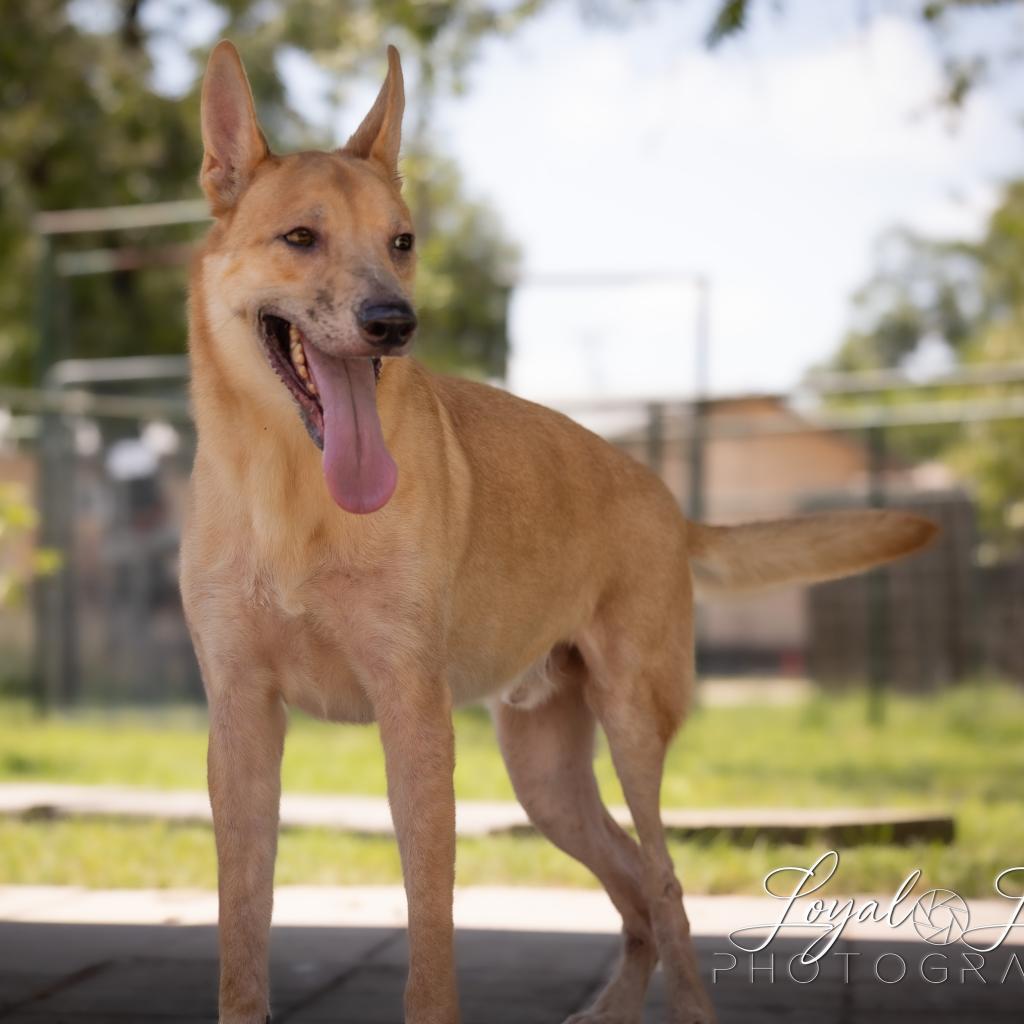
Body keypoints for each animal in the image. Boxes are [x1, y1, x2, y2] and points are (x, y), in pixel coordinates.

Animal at [182, 39, 937, 1024]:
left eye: (401, 243)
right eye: (300, 238)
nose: (395, 323)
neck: (291, 494)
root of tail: (669, 503)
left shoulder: (413, 720)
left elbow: (431, 939)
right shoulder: (240, 724)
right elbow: (241, 933)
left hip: (632, 728)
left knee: (667, 887)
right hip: (547, 780)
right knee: (636, 890)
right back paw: (611, 1010)